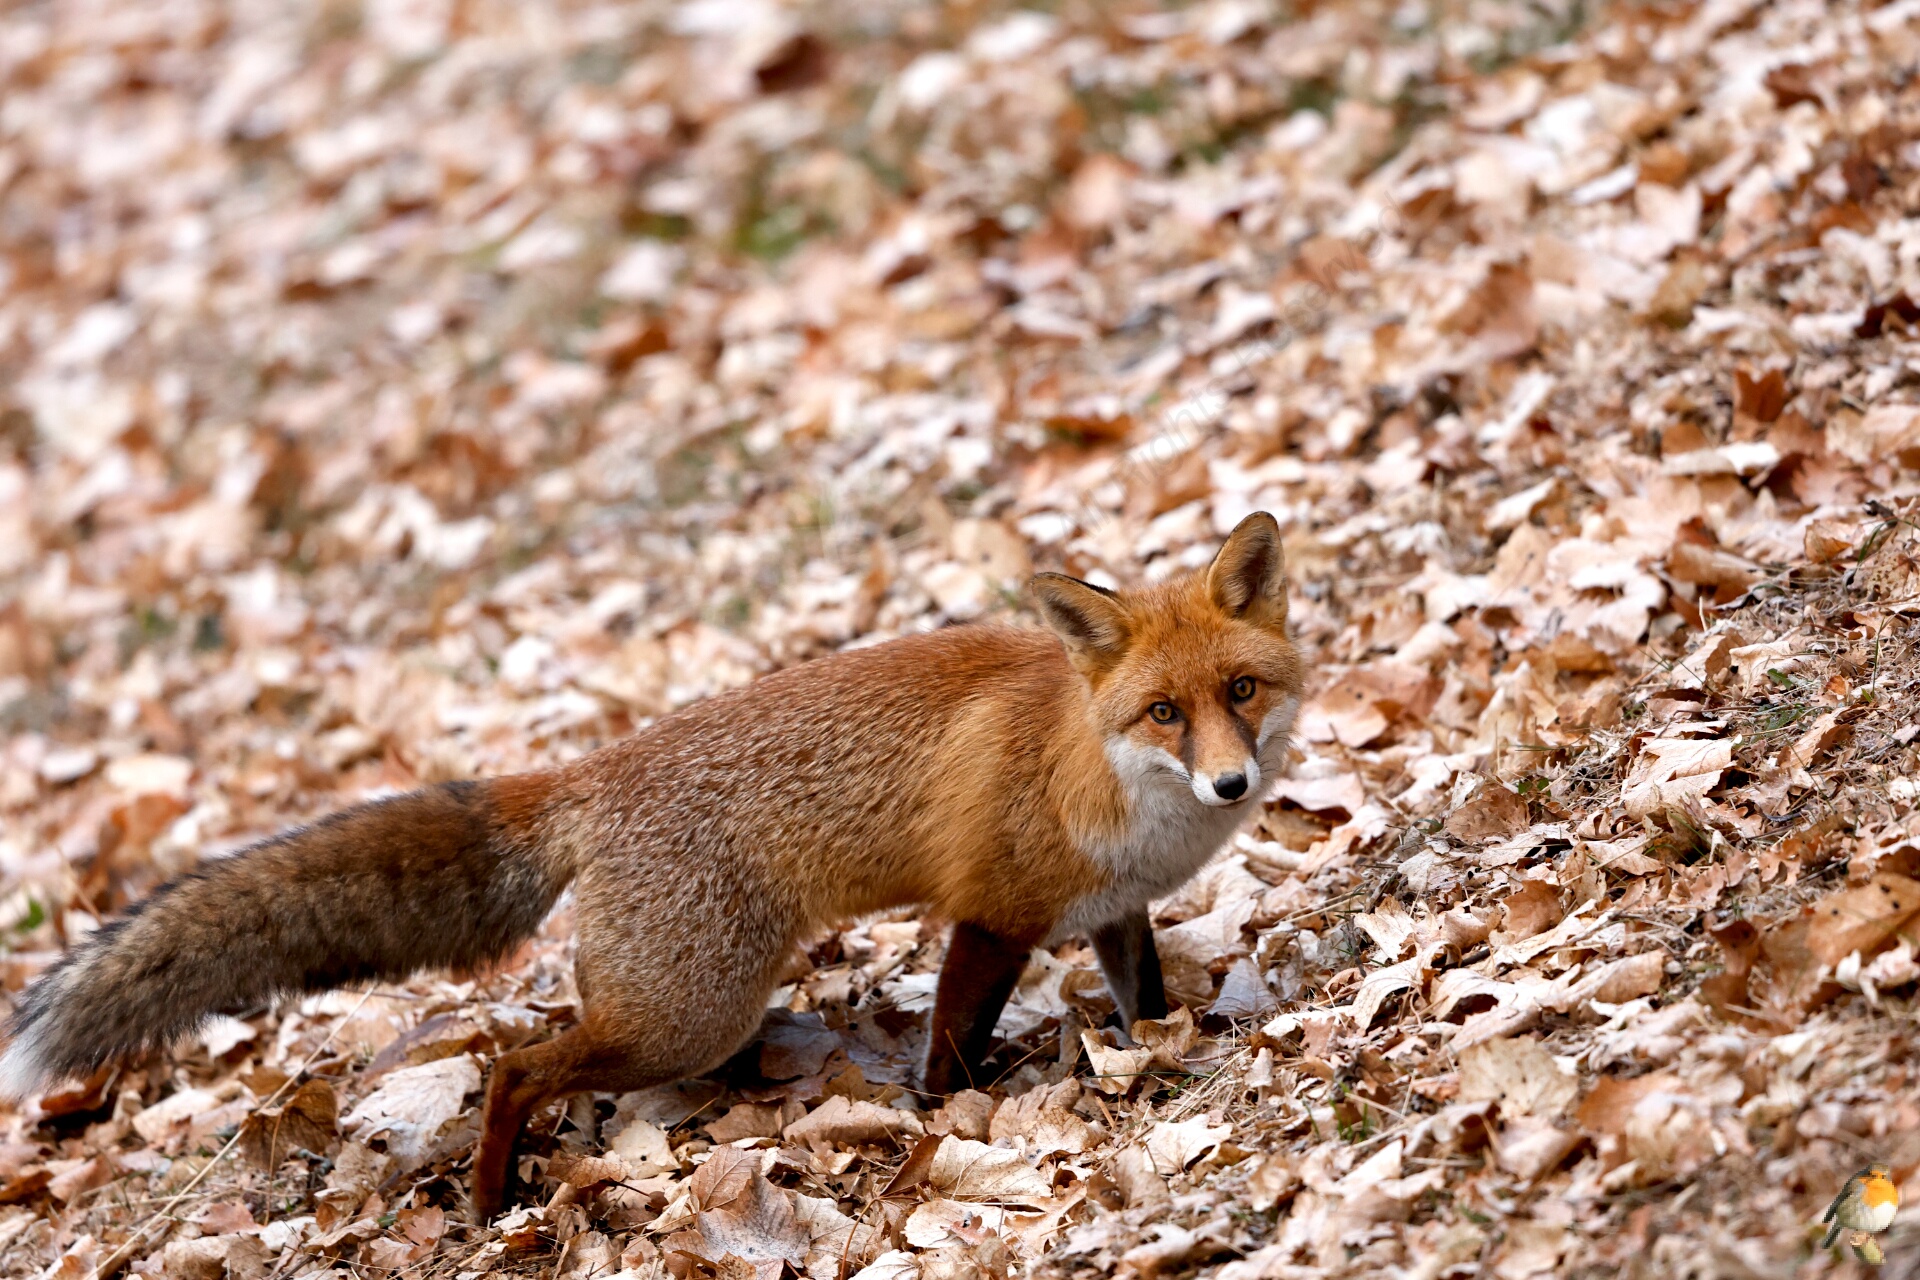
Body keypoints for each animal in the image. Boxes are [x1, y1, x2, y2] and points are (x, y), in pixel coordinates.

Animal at [0, 511, 1303, 1220]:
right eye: (1164, 714)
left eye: (1241, 691)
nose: (1234, 785)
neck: (1102, 778)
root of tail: (598, 767)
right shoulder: (993, 910)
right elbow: (950, 1047)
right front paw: (947, 1121)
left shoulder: (1112, 910)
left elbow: (1141, 1003)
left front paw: (1159, 1055)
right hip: (687, 1006)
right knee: (516, 1065)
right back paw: (490, 1197)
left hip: (689, 1013)